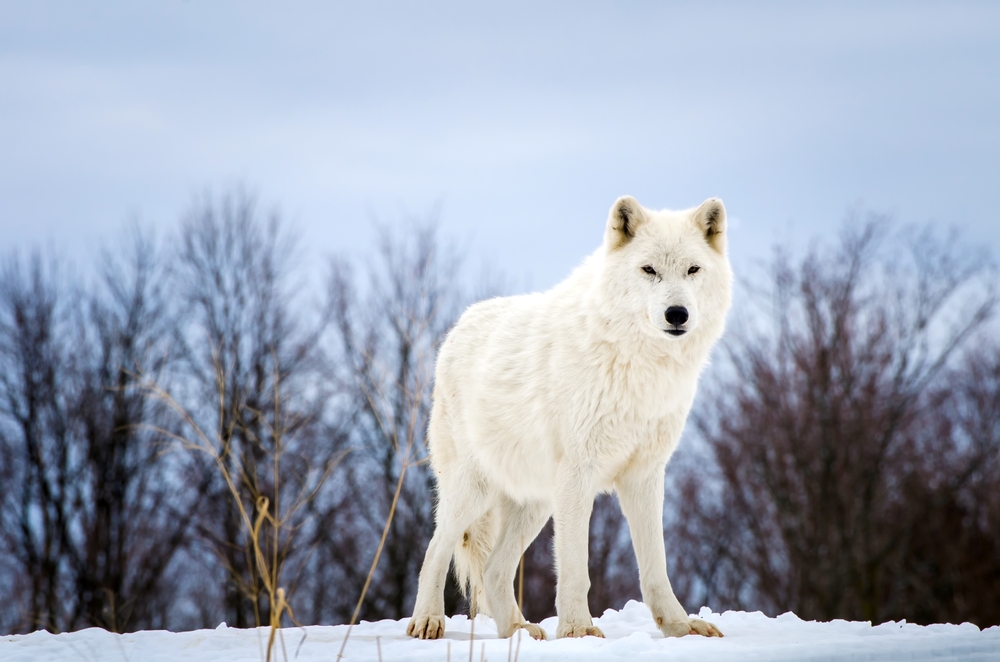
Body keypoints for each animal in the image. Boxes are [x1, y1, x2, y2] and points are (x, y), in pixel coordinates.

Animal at [402, 195, 732, 640]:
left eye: (693, 270)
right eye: (649, 270)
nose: (677, 313)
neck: (639, 365)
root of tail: (457, 327)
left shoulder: (645, 475)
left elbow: (655, 567)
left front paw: (680, 628)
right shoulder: (579, 474)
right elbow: (576, 567)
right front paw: (578, 631)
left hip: (535, 503)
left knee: (493, 569)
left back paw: (517, 630)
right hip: (475, 491)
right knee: (435, 549)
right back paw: (428, 620)